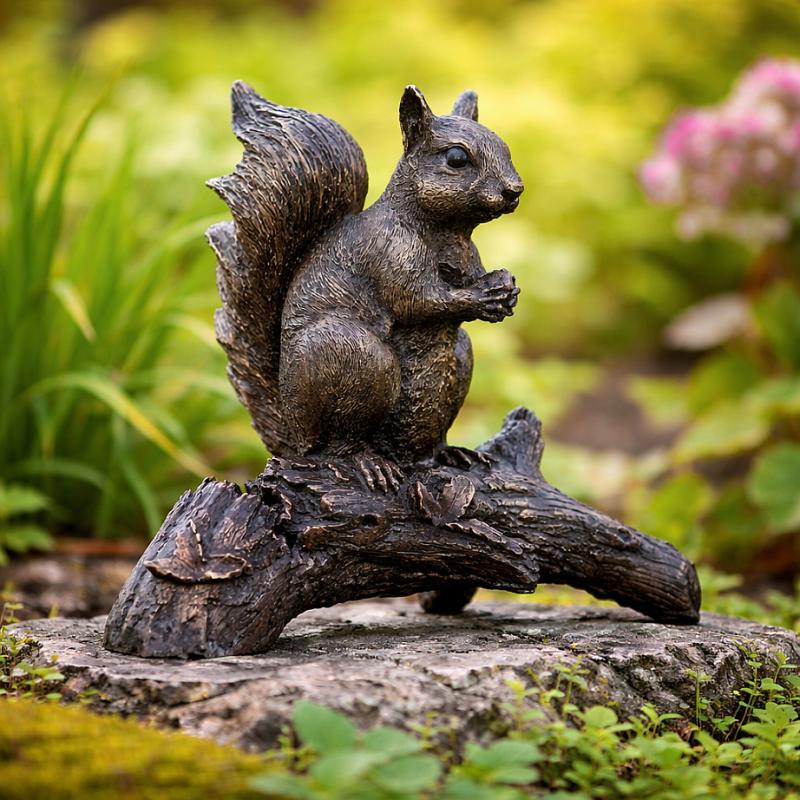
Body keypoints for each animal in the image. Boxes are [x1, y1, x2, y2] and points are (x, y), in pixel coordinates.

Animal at [207, 83, 523, 487]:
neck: (446, 232)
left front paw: (507, 291)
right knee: (342, 444)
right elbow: (417, 301)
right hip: (357, 360)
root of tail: (295, 436)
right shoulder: (387, 248)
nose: (515, 189)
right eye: (456, 158)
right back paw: (370, 462)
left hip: (459, 359)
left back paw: (449, 453)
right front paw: (483, 297)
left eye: (505, 147)